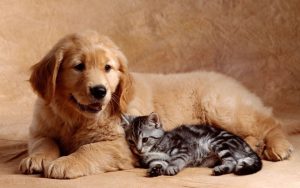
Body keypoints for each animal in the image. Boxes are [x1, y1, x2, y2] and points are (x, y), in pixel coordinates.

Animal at [120, 113, 262, 176]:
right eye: (131, 141)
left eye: (145, 139)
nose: (138, 149)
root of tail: (244, 143)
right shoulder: (157, 158)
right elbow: (158, 162)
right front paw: (156, 169)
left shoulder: (183, 148)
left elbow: (176, 160)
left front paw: (171, 167)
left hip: (218, 142)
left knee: (231, 162)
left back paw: (221, 169)